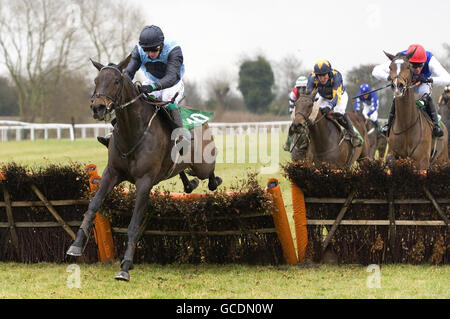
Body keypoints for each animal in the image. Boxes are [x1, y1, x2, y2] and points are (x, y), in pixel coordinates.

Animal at [67, 56, 221, 282]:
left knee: (209, 173)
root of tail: (201, 118)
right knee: (182, 172)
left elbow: (133, 224)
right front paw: (76, 244)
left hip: (202, 163)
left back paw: (213, 181)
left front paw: (125, 266)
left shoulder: (144, 182)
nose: (98, 108)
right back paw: (189, 184)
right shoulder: (111, 173)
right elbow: (94, 205)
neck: (133, 131)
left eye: (116, 81)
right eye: (96, 80)